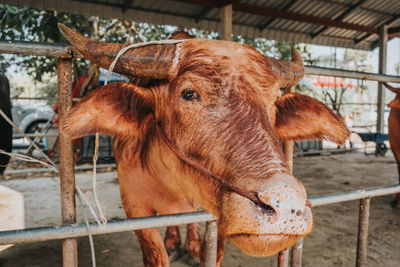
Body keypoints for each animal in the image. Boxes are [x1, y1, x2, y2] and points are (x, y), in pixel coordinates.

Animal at [57, 24, 348, 266]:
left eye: (274, 101)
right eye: (189, 93)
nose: (287, 204)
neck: (173, 182)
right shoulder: (134, 207)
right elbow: (156, 255)